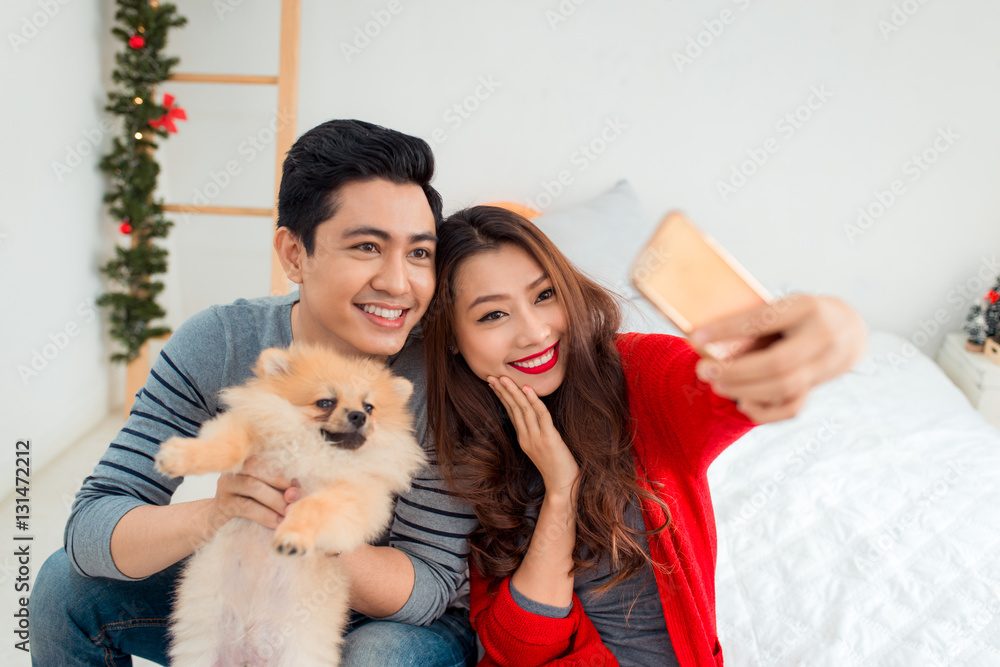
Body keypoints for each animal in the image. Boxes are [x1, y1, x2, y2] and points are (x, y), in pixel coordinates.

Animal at [154, 344, 428, 667]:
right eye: (325, 402)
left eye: (370, 407)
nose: (359, 415)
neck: (317, 451)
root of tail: (250, 650)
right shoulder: (252, 430)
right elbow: (228, 446)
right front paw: (180, 457)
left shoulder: (355, 497)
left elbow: (314, 505)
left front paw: (292, 536)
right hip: (204, 649)